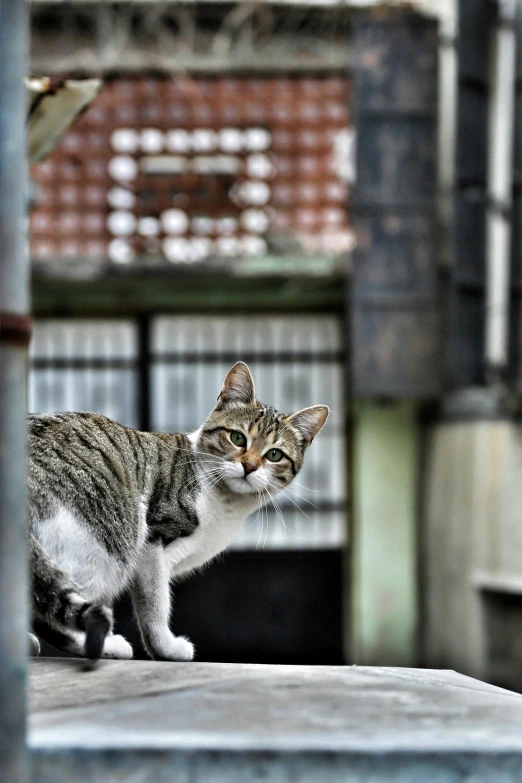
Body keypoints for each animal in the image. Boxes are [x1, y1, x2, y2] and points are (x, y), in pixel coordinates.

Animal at [27, 362, 324, 660]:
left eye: (274, 455)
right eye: (237, 438)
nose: (249, 466)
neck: (225, 503)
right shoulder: (153, 544)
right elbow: (155, 604)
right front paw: (166, 647)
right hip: (107, 542)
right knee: (58, 614)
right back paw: (107, 645)